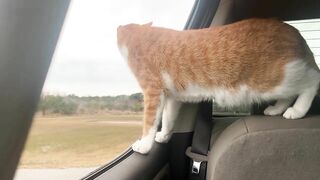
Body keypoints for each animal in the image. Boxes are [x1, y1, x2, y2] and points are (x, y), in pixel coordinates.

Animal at [116, 18, 320, 154]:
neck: (140, 37)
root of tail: (293, 31)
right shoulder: (172, 97)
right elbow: (167, 119)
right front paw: (164, 135)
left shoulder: (153, 92)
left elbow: (149, 123)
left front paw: (144, 145)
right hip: (280, 82)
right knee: (289, 94)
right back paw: (277, 109)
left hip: (278, 77)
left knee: (313, 80)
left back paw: (298, 110)